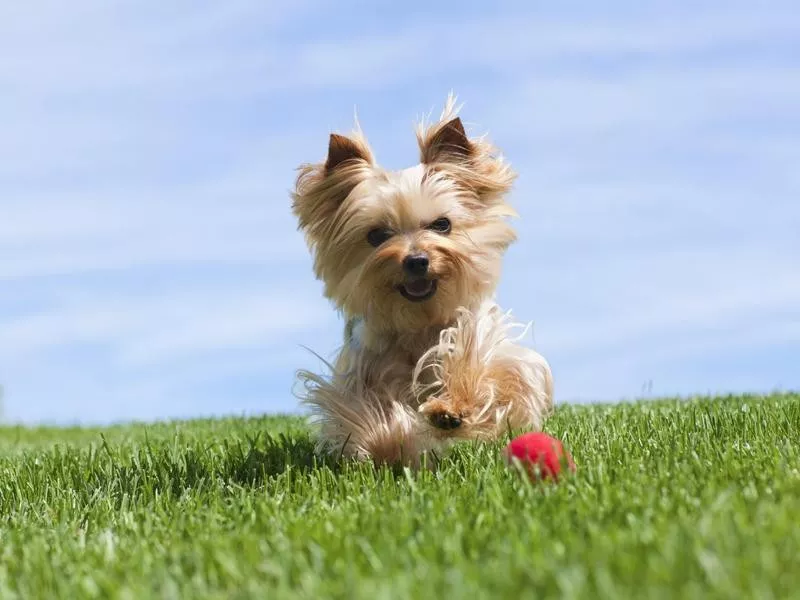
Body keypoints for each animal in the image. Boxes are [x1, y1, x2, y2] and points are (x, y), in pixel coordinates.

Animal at [290, 96, 552, 466]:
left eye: (442, 224)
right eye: (377, 235)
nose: (416, 260)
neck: (419, 321)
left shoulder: (484, 340)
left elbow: (489, 370)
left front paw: (452, 409)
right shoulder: (364, 369)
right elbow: (365, 412)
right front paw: (391, 442)